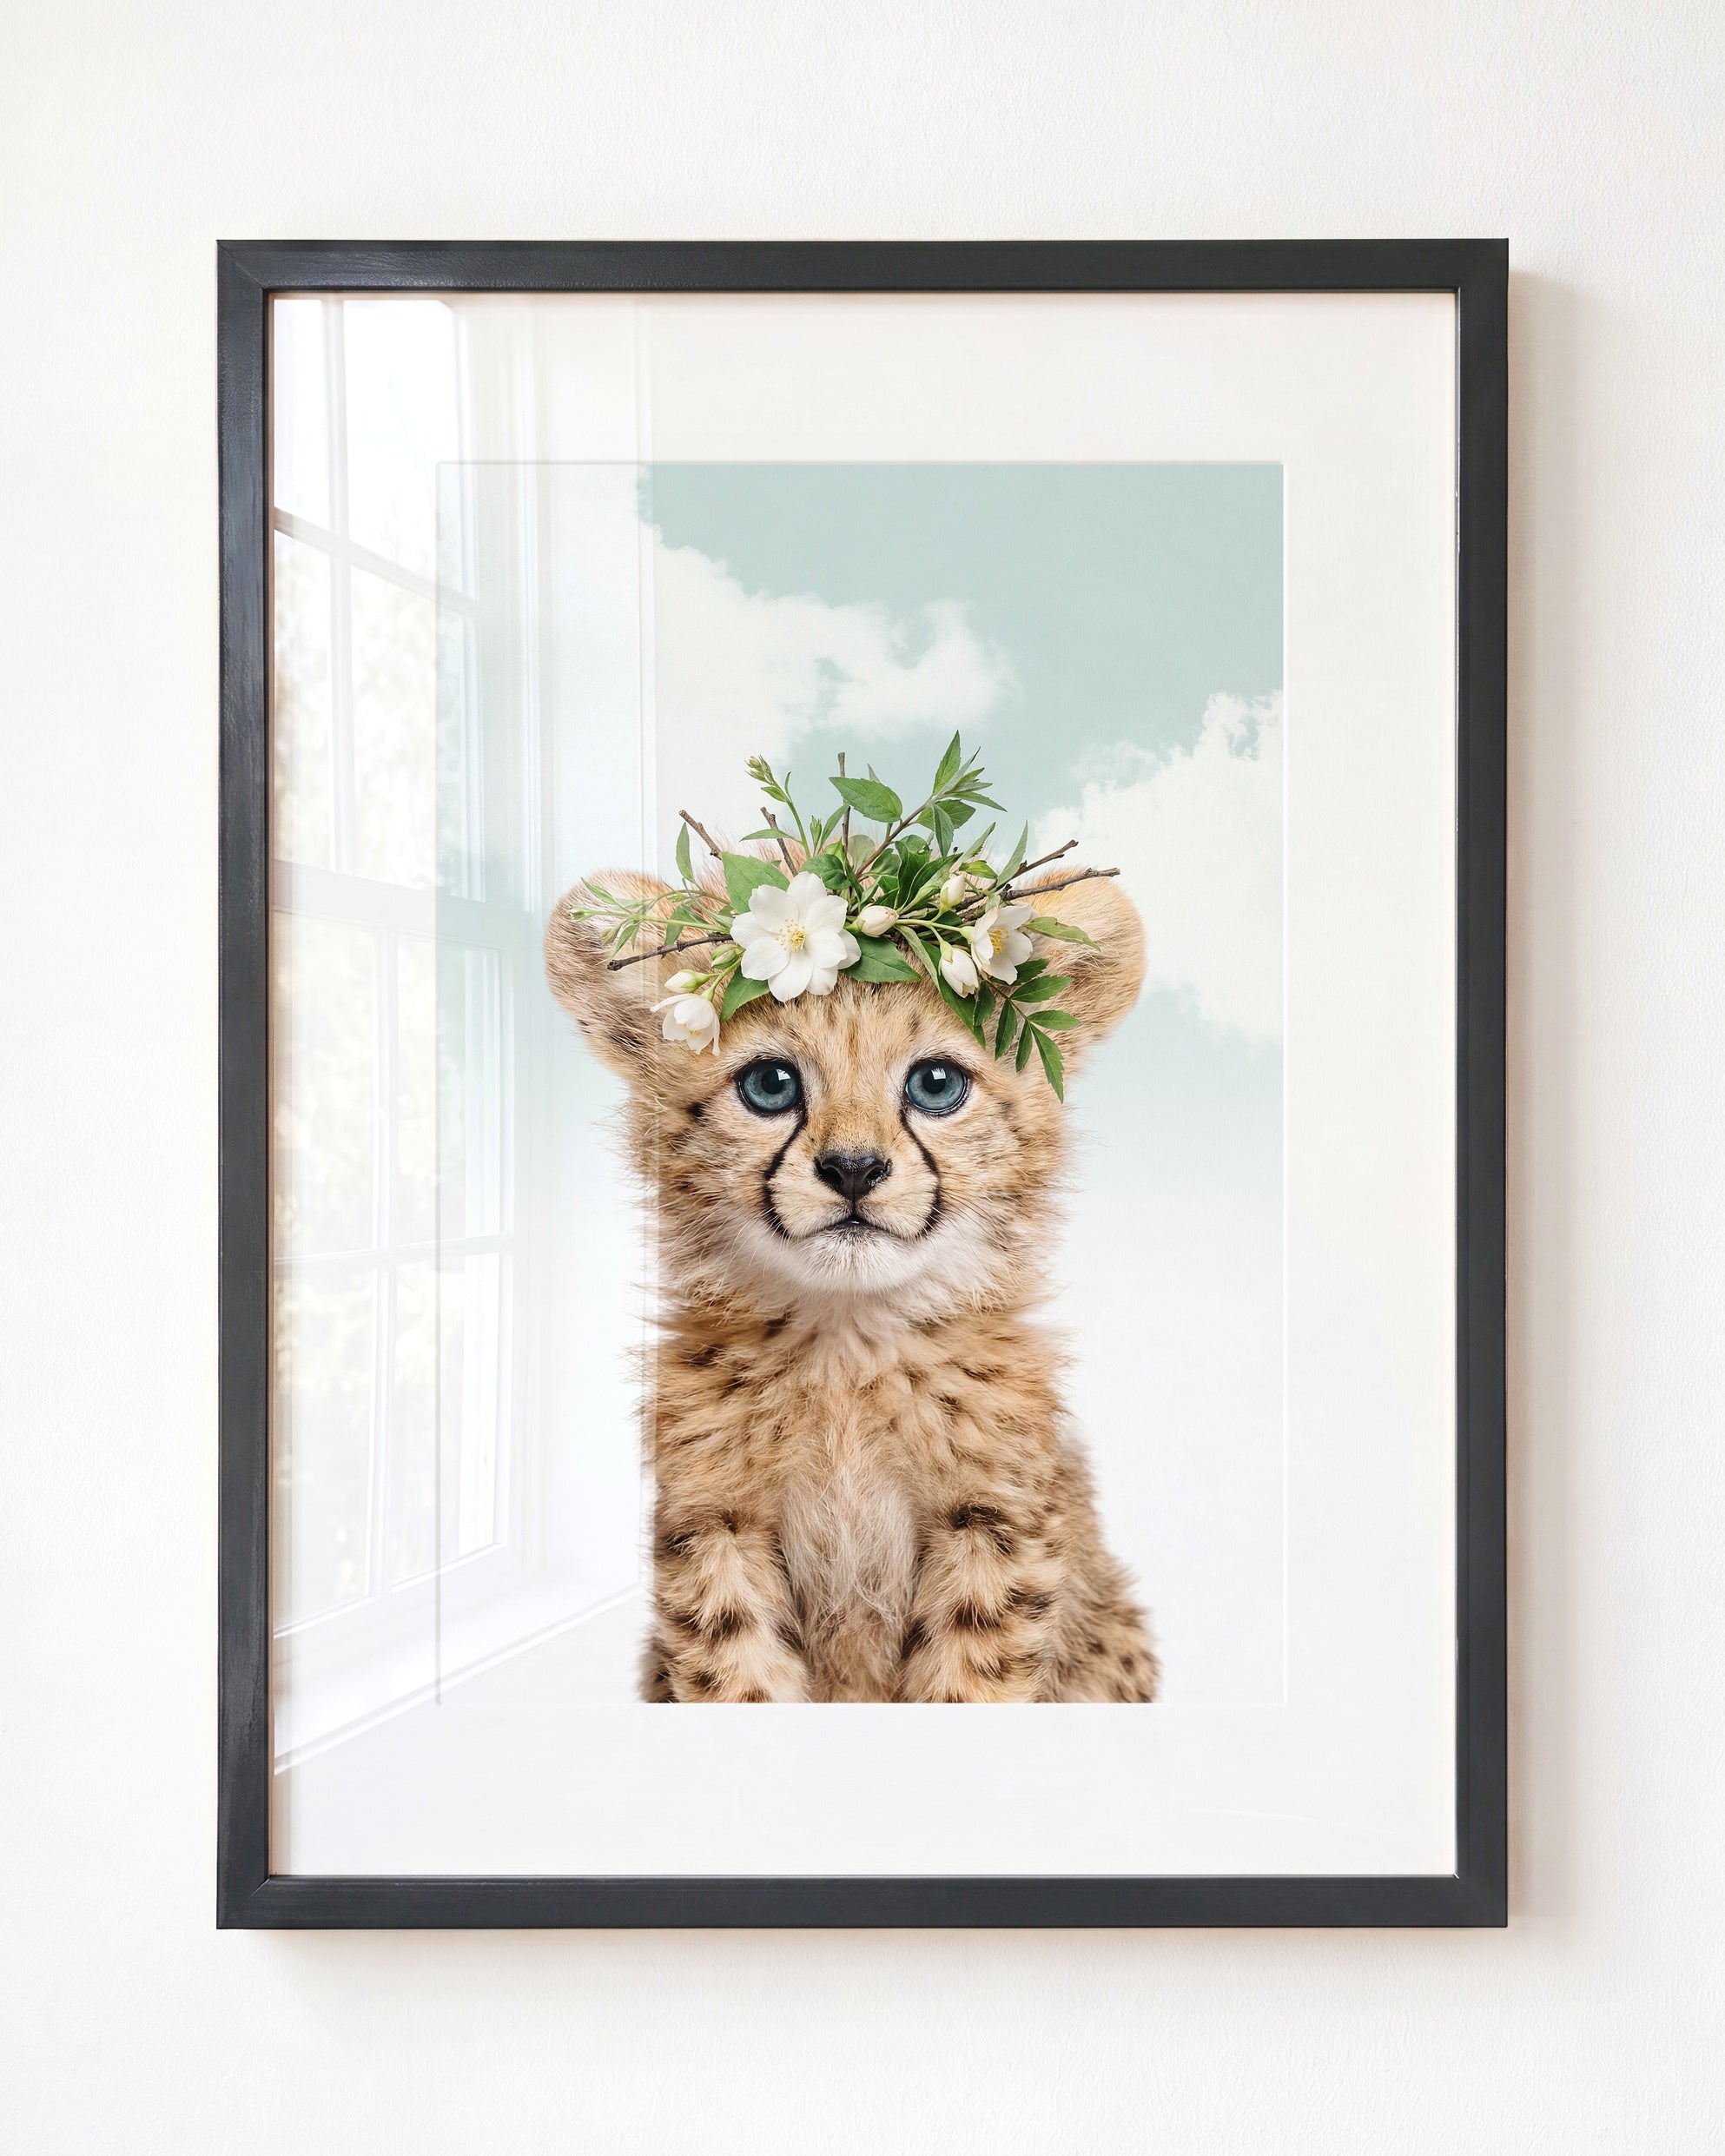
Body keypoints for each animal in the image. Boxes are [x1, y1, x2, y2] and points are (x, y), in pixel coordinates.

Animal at [544, 863, 1159, 1703]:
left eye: (936, 1084)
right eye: (771, 1084)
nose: (855, 1169)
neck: (848, 1344)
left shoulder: (992, 1526)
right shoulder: (716, 1526)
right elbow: (738, 1677)